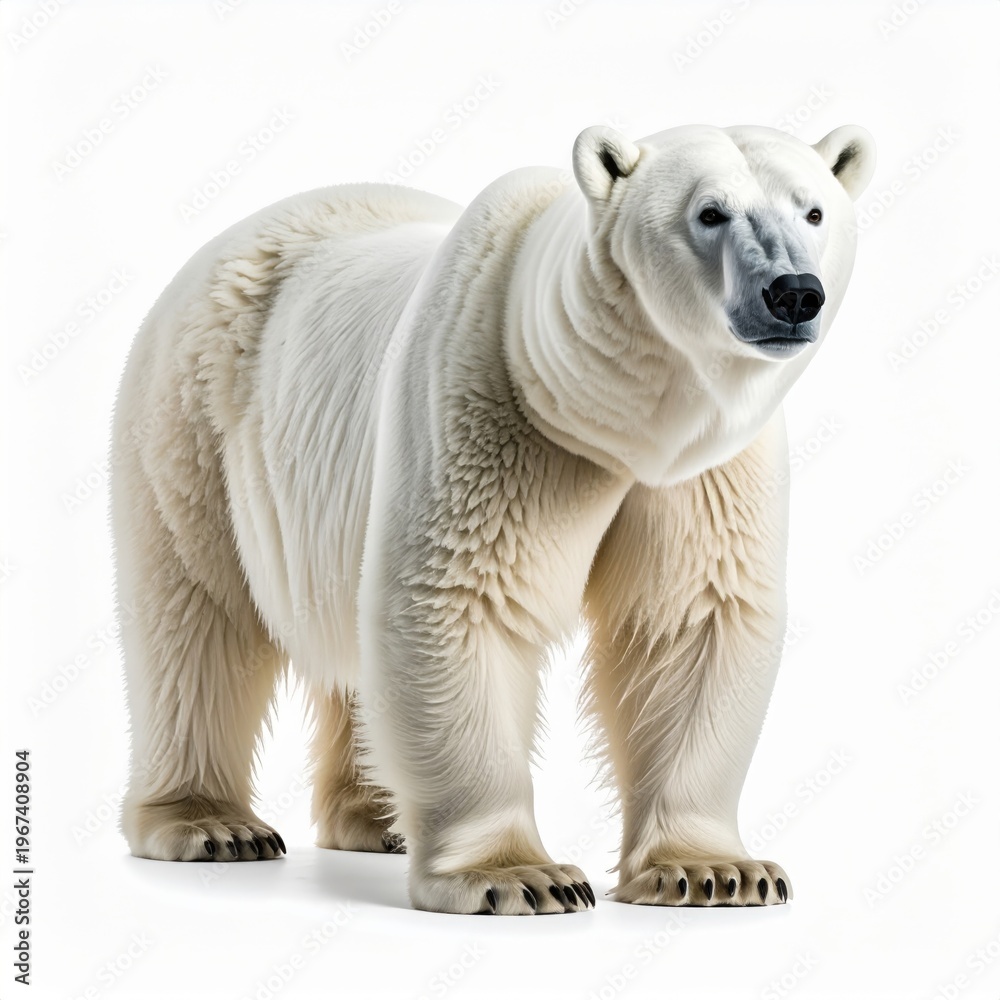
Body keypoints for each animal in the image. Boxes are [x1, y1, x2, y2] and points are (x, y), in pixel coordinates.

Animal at [112, 122, 875, 914]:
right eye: (710, 213)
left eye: (814, 210)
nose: (793, 293)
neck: (615, 417)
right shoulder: (485, 398)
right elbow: (461, 596)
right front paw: (519, 876)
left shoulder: (706, 469)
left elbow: (694, 617)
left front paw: (715, 871)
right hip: (194, 421)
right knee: (195, 614)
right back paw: (212, 824)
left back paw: (377, 818)